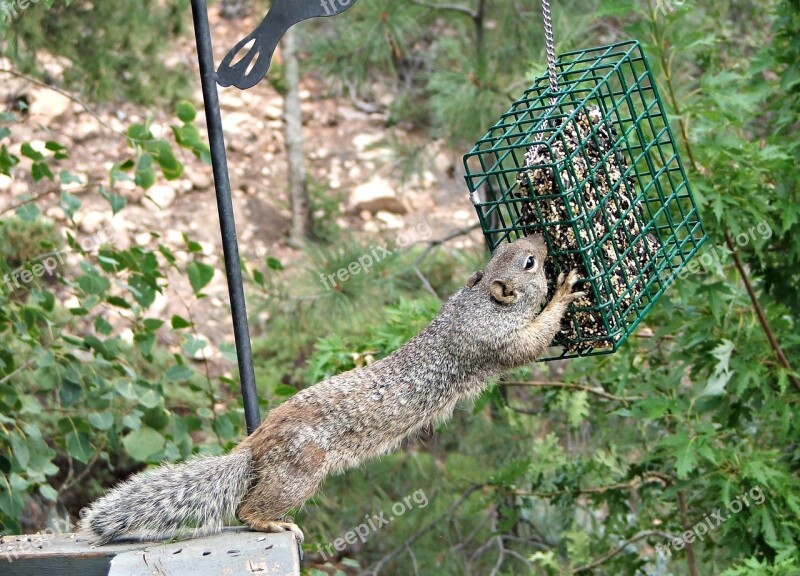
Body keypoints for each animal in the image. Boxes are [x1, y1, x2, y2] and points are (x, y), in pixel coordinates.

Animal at [81, 234, 580, 544]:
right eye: (528, 262)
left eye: (513, 247)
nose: (541, 241)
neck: (478, 304)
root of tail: (255, 447)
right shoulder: (494, 343)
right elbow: (533, 341)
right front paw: (565, 291)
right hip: (300, 472)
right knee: (247, 510)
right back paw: (273, 524)